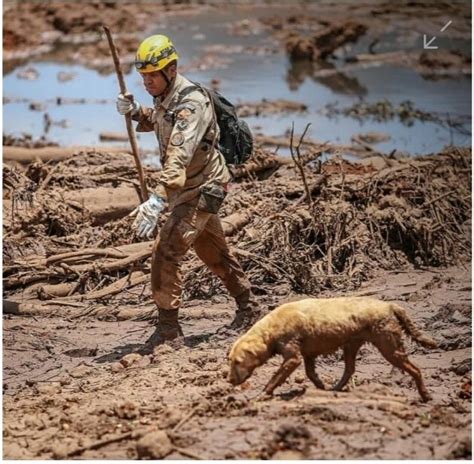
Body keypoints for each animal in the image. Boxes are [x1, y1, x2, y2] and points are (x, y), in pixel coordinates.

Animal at [230, 298, 436, 402]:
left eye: (237, 361)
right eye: (230, 360)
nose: (230, 380)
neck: (270, 329)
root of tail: (390, 305)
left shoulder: (293, 356)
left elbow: (276, 377)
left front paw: (263, 394)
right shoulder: (308, 354)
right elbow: (311, 373)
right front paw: (321, 386)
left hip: (389, 346)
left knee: (415, 369)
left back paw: (425, 395)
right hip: (351, 344)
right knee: (349, 369)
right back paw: (335, 388)